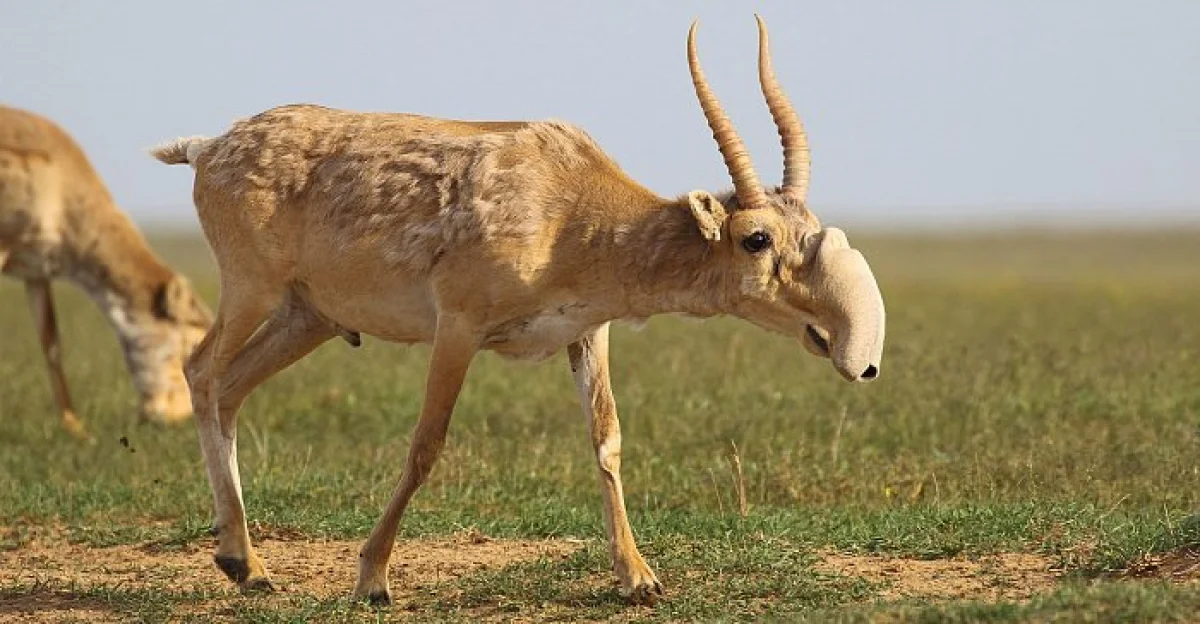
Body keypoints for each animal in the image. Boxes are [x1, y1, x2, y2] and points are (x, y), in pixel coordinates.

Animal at [0, 105, 213, 439]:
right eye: (189, 343)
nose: (175, 419)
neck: (60, 184)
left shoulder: (36, 272)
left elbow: (51, 344)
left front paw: (76, 429)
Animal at [152, 17, 883, 604]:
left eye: (808, 227)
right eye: (756, 238)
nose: (839, 339)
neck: (571, 208)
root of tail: (208, 147)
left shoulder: (588, 333)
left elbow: (607, 439)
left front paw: (640, 578)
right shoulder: (458, 327)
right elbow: (426, 444)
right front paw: (373, 579)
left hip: (309, 318)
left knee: (230, 388)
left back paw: (244, 564)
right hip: (252, 290)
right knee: (202, 374)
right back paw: (245, 559)